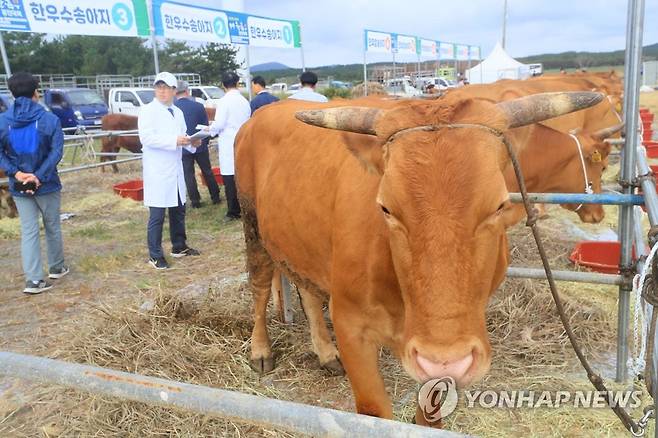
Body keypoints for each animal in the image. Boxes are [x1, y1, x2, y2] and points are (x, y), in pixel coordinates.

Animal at [236, 91, 600, 420]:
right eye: (385, 207)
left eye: (499, 205)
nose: (448, 358)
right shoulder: (351, 325)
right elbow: (374, 413)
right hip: (253, 227)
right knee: (260, 288)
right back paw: (261, 350)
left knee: (309, 293)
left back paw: (326, 353)